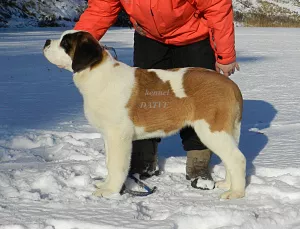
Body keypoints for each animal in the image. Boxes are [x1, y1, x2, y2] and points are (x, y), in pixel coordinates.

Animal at [44, 30, 246, 199]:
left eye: (65, 43)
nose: (46, 41)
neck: (97, 74)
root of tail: (231, 85)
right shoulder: (108, 135)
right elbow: (109, 162)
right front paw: (105, 185)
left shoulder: (119, 136)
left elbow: (116, 165)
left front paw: (110, 191)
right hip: (226, 132)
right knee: (230, 157)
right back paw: (227, 184)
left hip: (212, 130)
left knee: (237, 158)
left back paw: (235, 193)